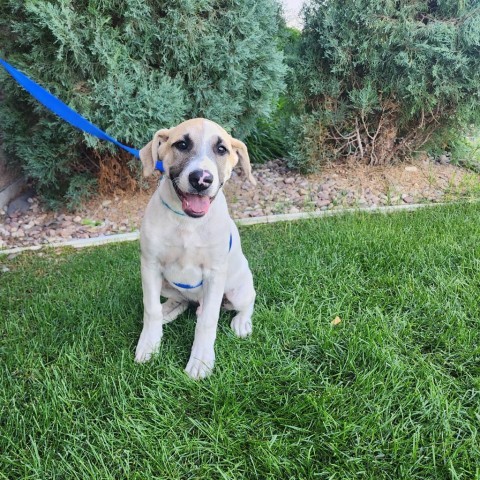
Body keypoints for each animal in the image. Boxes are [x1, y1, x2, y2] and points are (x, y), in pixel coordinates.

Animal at [133, 117, 256, 378]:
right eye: (181, 144)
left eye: (221, 149)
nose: (201, 179)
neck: (187, 222)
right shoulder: (149, 266)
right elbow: (150, 309)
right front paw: (149, 345)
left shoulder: (214, 273)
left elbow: (207, 322)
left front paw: (200, 361)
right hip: (165, 284)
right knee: (181, 301)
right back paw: (169, 310)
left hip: (237, 289)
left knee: (247, 300)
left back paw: (241, 322)